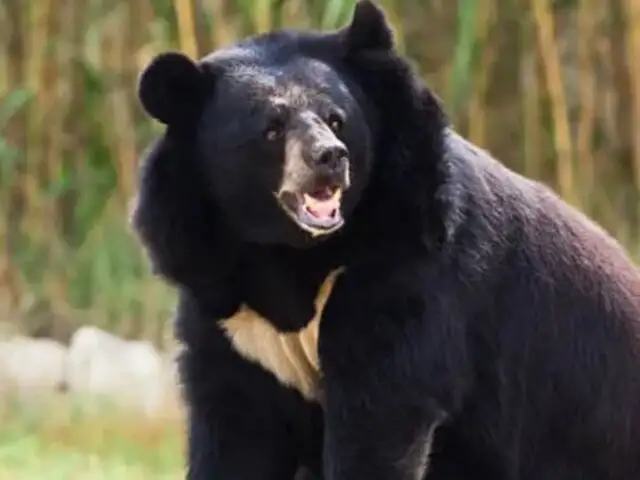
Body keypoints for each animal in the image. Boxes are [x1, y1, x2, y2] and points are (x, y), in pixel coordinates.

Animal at [132, 0, 640, 478]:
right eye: (271, 129)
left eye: (336, 119)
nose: (330, 158)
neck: (290, 254)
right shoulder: (227, 312)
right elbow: (235, 431)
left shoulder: (407, 274)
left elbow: (379, 416)